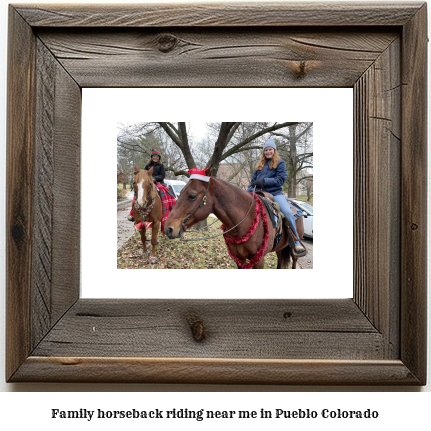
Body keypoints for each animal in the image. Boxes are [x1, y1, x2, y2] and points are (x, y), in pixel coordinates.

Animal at [166, 170, 308, 268]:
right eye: (180, 192)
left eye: (192, 196)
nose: (168, 228)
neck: (246, 221)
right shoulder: (239, 259)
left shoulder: (259, 260)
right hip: (279, 248)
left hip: (293, 249)